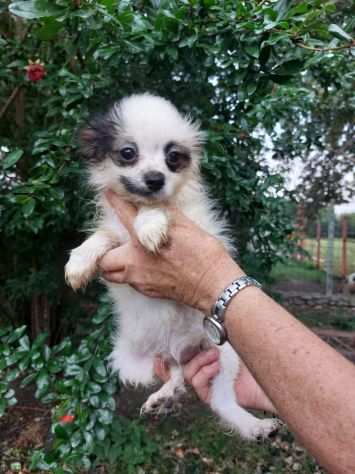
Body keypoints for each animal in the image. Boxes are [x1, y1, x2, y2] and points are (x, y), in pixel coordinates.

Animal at [64, 92, 280, 440]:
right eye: (128, 153)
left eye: (173, 158)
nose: (155, 179)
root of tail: (178, 348)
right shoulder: (115, 234)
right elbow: (101, 236)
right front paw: (80, 261)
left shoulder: (198, 226)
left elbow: (160, 207)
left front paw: (150, 224)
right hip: (132, 363)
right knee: (176, 374)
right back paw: (165, 397)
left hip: (225, 352)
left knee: (221, 399)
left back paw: (255, 427)